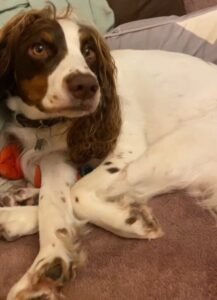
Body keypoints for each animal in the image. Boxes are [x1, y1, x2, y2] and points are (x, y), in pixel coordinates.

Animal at [0, 4, 217, 300]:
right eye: (39, 48)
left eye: (88, 51)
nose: (86, 86)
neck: (49, 126)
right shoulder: (53, 158)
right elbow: (53, 202)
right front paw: (47, 266)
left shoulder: (127, 147)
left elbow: (76, 196)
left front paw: (131, 221)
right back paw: (17, 203)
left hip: (177, 149)